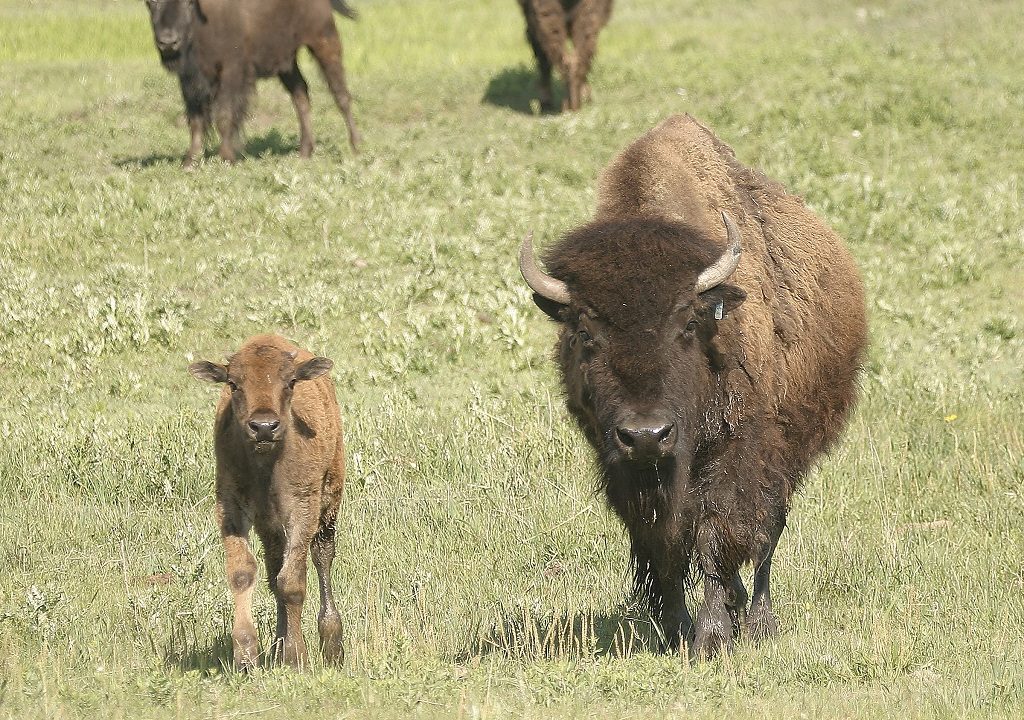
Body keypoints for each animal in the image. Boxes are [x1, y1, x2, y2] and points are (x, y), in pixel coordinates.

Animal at [145, 0, 361, 166]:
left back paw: (356, 147)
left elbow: (224, 116)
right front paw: (190, 161)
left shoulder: (231, 71)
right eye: (153, 1)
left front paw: (226, 158)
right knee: (301, 94)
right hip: (287, 62)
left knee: (341, 94)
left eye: (188, 2)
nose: (168, 41)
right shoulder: (189, 80)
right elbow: (196, 121)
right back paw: (304, 151)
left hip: (323, 41)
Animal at [189, 334, 346, 669]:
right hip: (271, 527)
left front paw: (296, 656)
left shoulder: (303, 508)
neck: (266, 465)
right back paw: (277, 645)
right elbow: (244, 573)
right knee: (274, 571)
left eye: (290, 382)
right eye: (233, 383)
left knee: (322, 557)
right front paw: (246, 654)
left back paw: (331, 646)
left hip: (329, 502)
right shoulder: (232, 508)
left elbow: (292, 582)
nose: (263, 427)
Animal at [519, 115, 867, 657]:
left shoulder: (736, 453)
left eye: (686, 323)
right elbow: (665, 545)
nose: (646, 435)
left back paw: (759, 620)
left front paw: (710, 636)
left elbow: (716, 535)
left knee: (767, 534)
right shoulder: (624, 468)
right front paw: (677, 628)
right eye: (584, 332)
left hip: (788, 454)